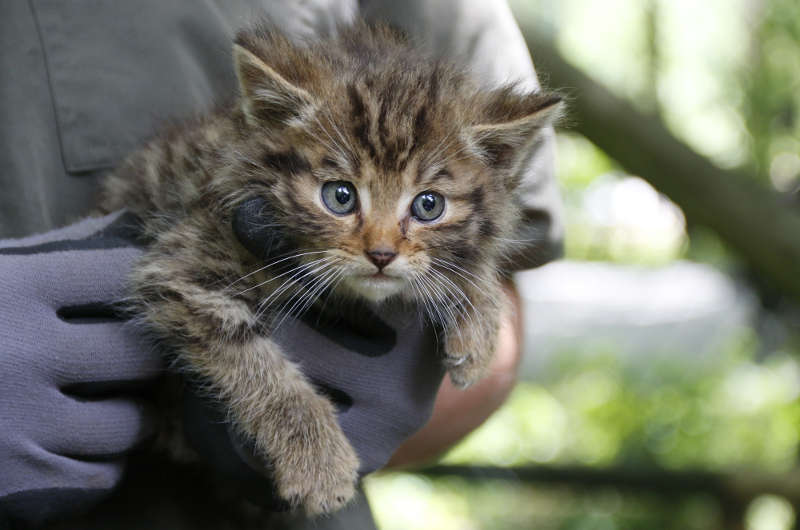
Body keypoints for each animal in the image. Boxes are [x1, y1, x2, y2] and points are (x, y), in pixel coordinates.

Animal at [100, 20, 564, 512]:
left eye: (428, 205)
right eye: (340, 196)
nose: (381, 254)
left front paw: (478, 312)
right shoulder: (185, 267)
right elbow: (258, 365)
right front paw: (318, 459)